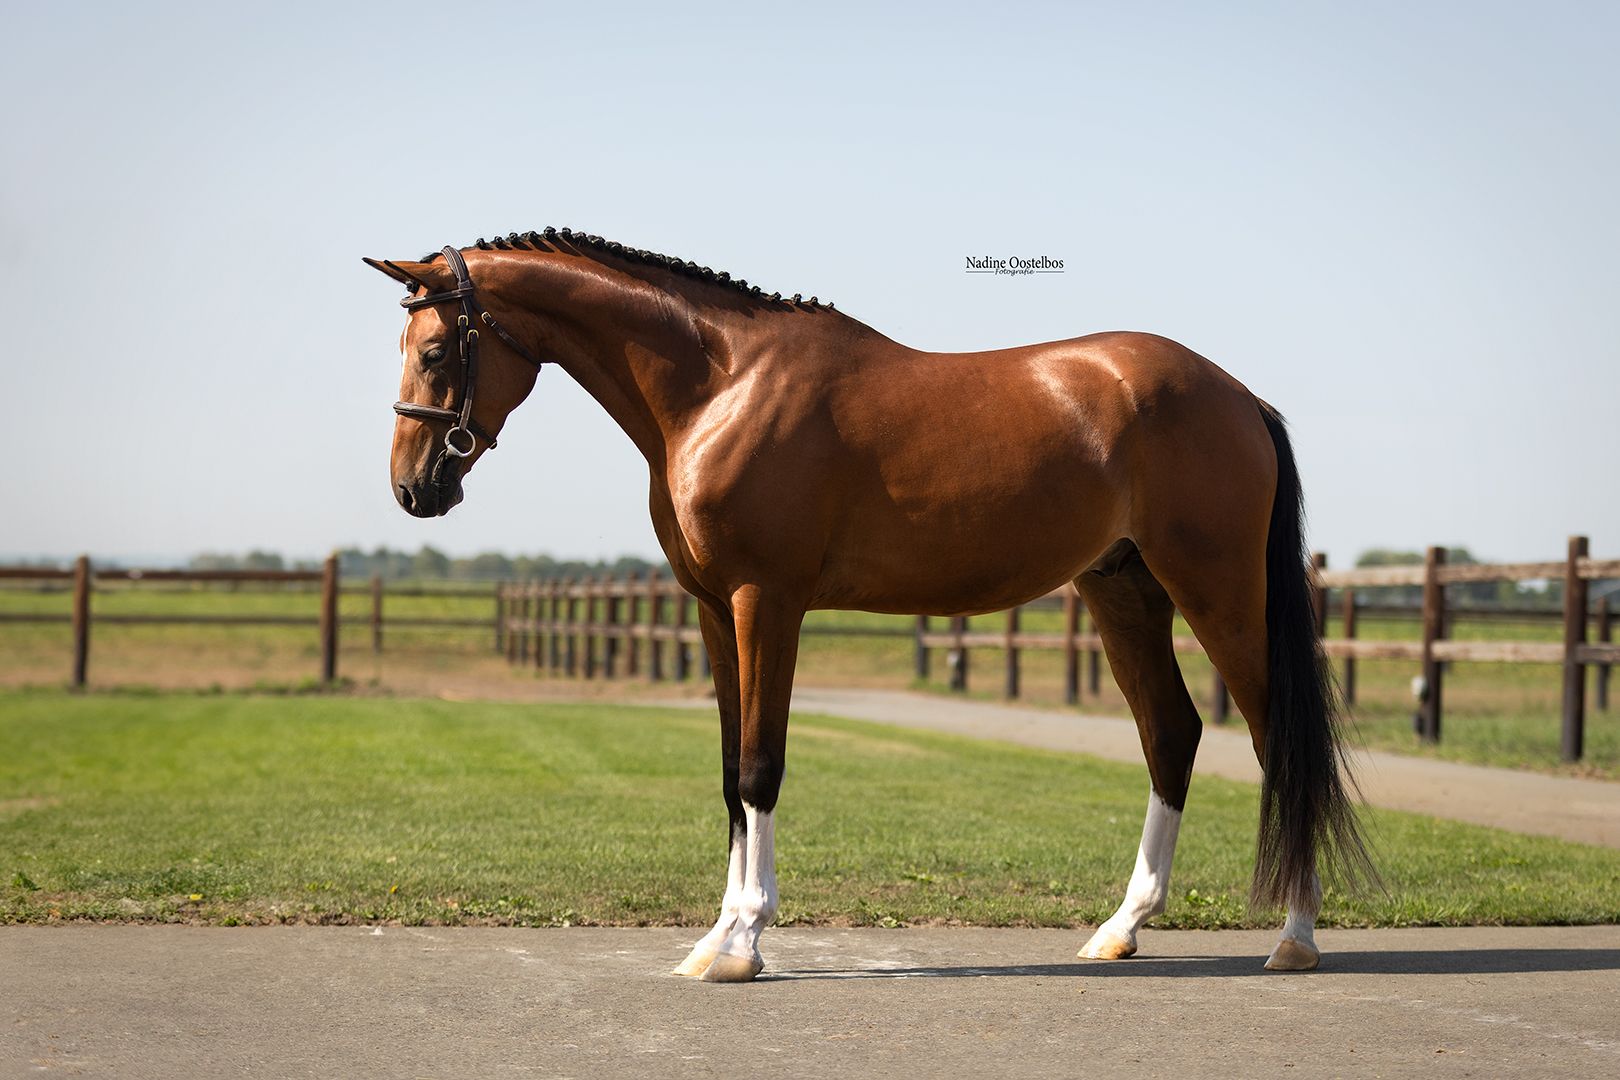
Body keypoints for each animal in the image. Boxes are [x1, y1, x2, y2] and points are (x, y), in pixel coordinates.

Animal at [364, 228, 1373, 982]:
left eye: (437, 350)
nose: (414, 489)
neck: (721, 384)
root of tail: (1238, 395)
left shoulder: (766, 601)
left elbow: (759, 768)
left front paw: (743, 943)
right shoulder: (711, 610)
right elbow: (726, 775)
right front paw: (715, 937)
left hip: (1218, 590)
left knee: (1277, 737)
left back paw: (1295, 937)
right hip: (1122, 589)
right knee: (1171, 733)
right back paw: (1121, 928)